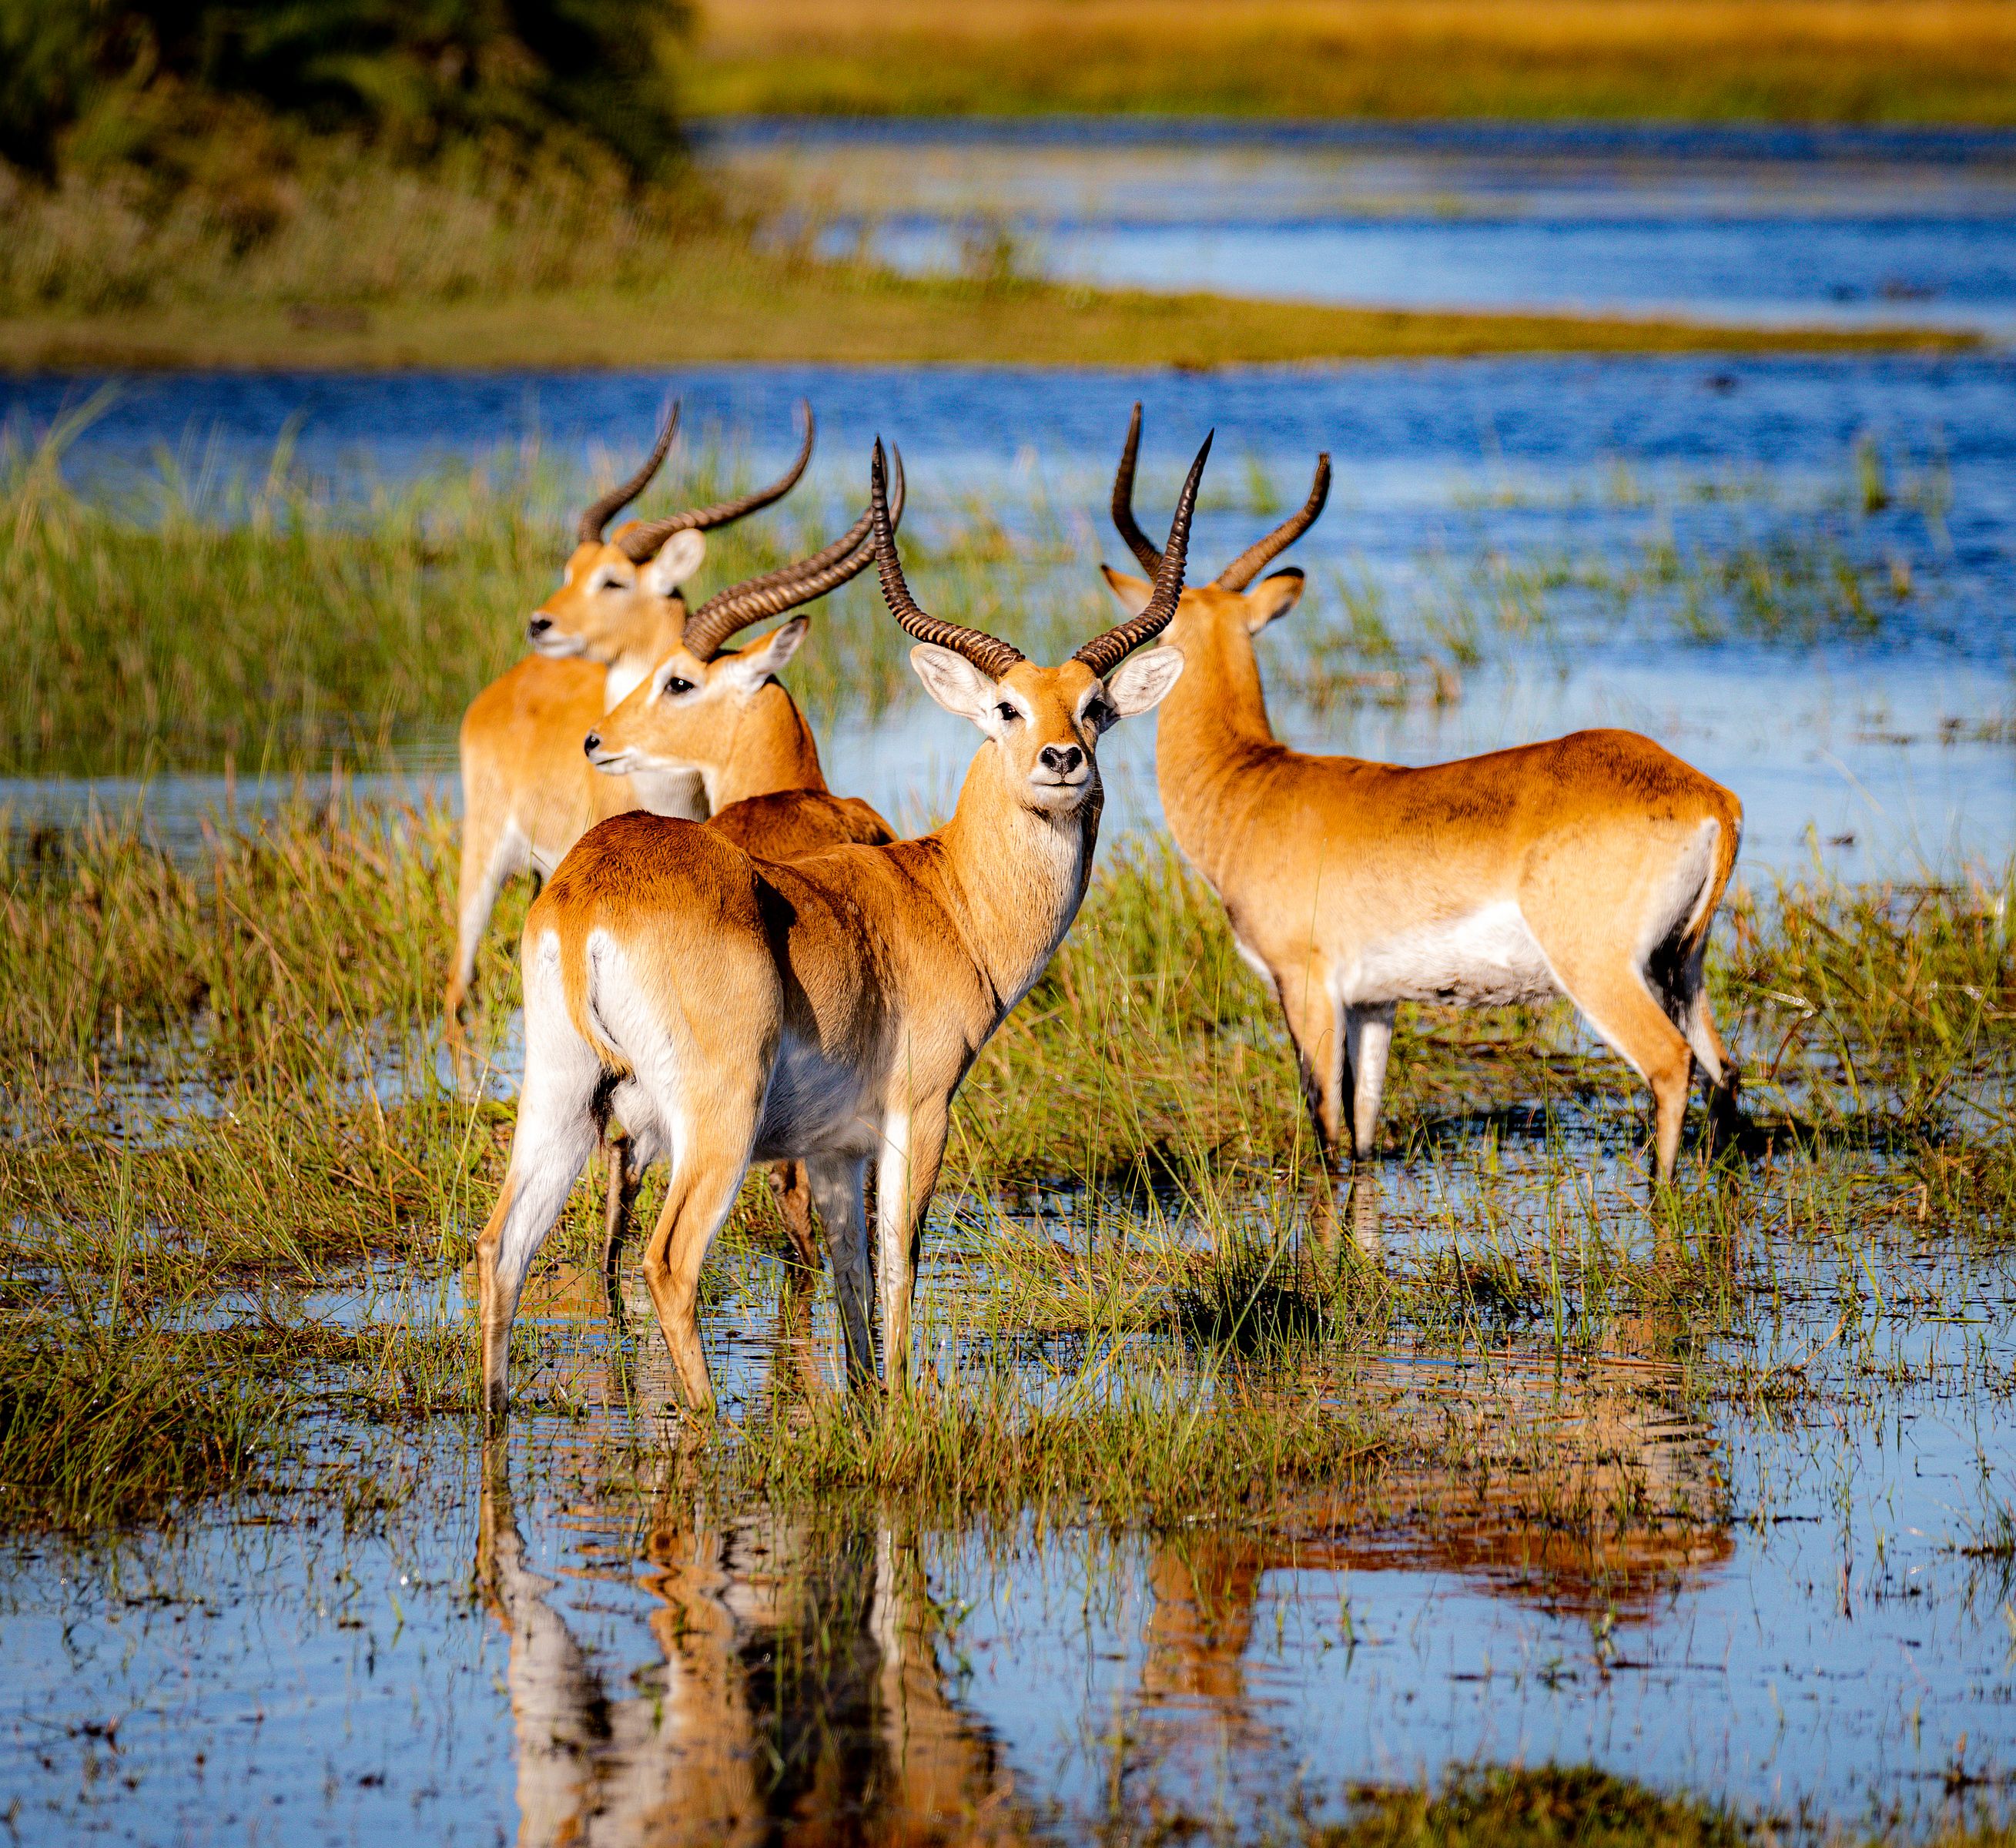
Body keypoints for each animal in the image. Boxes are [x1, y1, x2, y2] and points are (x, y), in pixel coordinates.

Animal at [445, 402, 815, 1026]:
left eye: (612, 579)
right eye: (570, 570)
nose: (540, 623)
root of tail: (504, 685)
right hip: (485, 859)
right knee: (458, 980)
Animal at [475, 434, 1210, 1417]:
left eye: (1094, 707)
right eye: (1006, 708)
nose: (1063, 760)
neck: (944, 896)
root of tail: (589, 892)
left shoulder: (831, 1151)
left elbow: (851, 1282)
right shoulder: (919, 1115)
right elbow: (899, 1264)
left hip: (562, 1102)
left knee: (501, 1247)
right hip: (714, 1118)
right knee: (668, 1263)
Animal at [1102, 406, 1743, 1185]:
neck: (1253, 785)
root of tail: (1710, 796)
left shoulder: (1306, 987)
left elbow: (1327, 1129)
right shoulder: (1375, 1005)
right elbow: (1364, 1131)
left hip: (1602, 972)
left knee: (1673, 1067)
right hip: (1682, 967)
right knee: (1727, 1073)